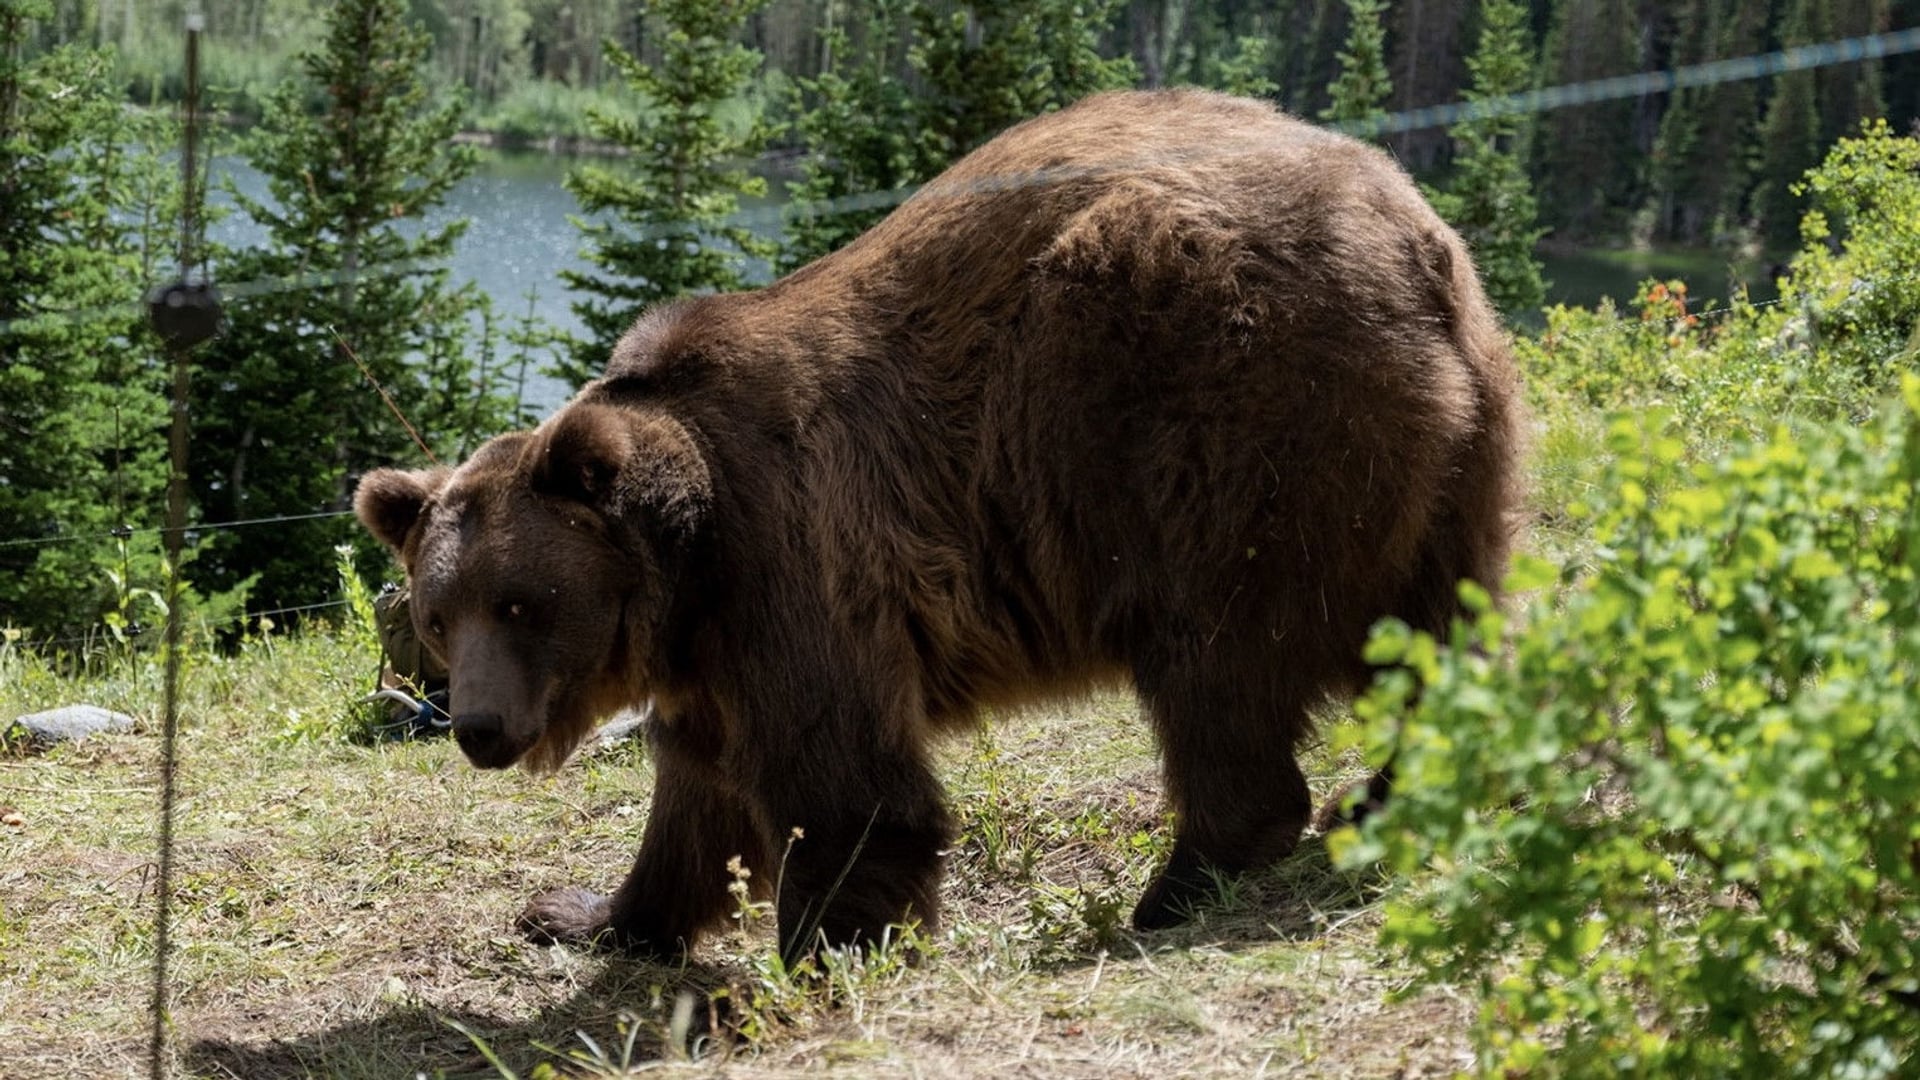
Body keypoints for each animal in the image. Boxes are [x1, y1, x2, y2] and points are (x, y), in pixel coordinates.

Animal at [354, 88, 1526, 962]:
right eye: (440, 614)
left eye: (523, 602)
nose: (478, 728)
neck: (682, 569)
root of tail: (1413, 233)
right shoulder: (710, 651)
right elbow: (694, 798)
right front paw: (591, 913)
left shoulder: (796, 564)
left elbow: (851, 794)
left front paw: (828, 949)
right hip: (1446, 463)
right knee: (1434, 635)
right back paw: (1391, 796)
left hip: (1225, 420)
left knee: (1217, 655)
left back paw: (1178, 888)